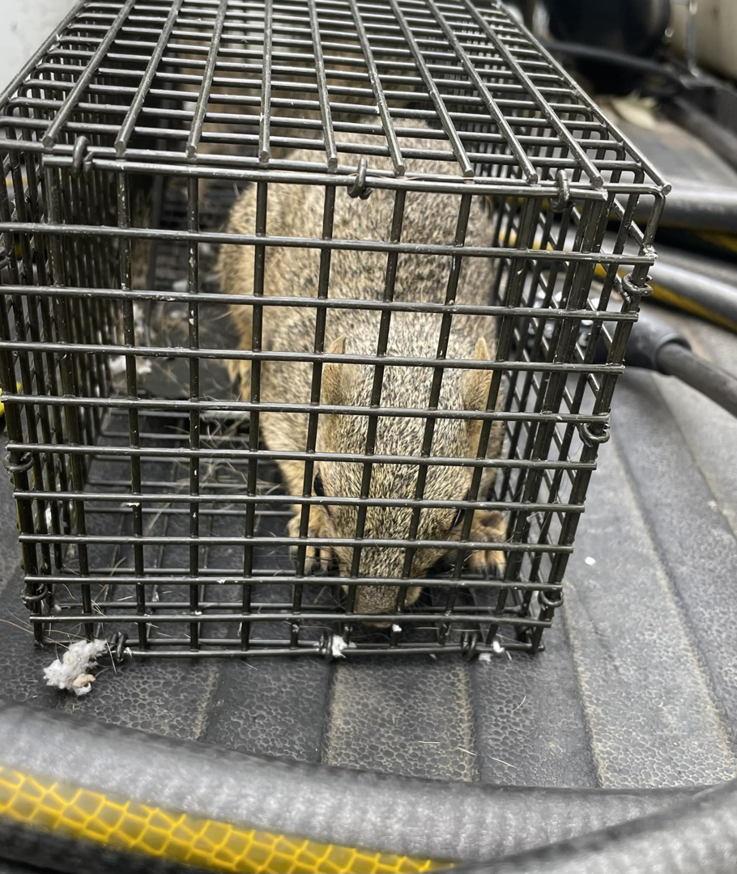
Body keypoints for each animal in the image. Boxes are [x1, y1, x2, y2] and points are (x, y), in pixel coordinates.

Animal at [217, 122, 506, 616]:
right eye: (321, 488)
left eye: (457, 513)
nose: (372, 615)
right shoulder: (287, 389)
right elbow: (287, 449)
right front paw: (314, 527)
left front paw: (484, 531)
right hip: (242, 262)